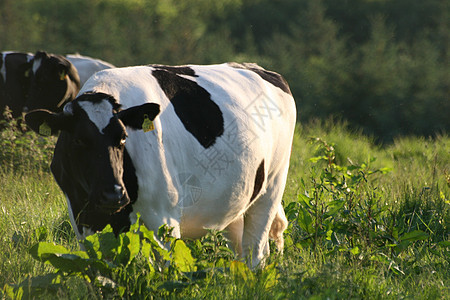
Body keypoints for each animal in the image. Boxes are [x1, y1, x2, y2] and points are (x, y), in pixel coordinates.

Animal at [26, 63, 298, 268]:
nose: (113, 194)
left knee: (256, 251)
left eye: (123, 137)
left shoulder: (164, 221)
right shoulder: (83, 220)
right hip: (236, 200)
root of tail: (257, 68)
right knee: (241, 247)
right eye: (78, 140)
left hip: (272, 186)